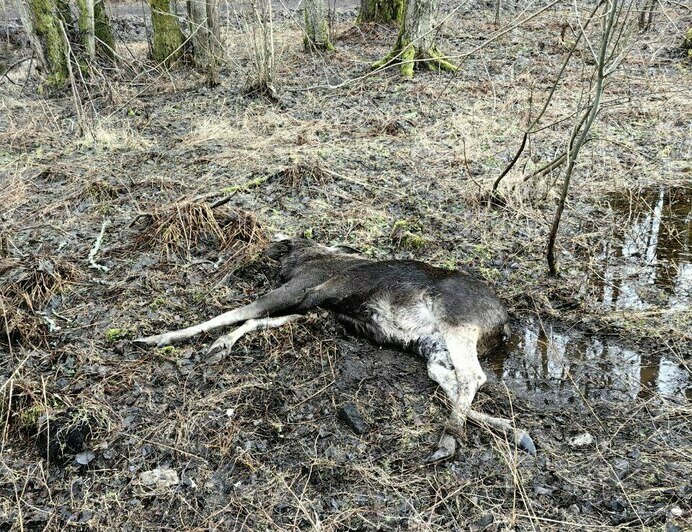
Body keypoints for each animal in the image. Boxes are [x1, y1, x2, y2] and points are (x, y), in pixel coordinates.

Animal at [137, 235, 536, 460]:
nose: (264, 248)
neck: (305, 260)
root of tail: (503, 324)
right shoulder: (310, 307)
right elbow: (251, 322)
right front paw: (219, 345)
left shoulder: (299, 291)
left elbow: (233, 313)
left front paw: (159, 337)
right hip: (432, 346)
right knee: (451, 381)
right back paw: (512, 429)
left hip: (456, 323)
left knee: (472, 376)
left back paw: (450, 440)